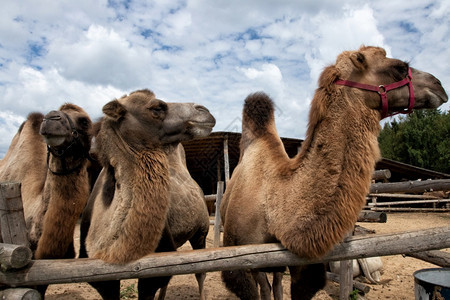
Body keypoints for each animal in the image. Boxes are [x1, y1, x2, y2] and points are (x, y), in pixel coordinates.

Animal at [79, 89, 214, 300]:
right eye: (156, 108)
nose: (204, 110)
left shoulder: (152, 267)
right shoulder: (100, 277)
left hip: (201, 231)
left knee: (200, 271)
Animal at [220, 45, 448, 298]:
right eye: (399, 67)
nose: (439, 85)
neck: (275, 207)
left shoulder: (302, 264)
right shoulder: (238, 261)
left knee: (276, 282)